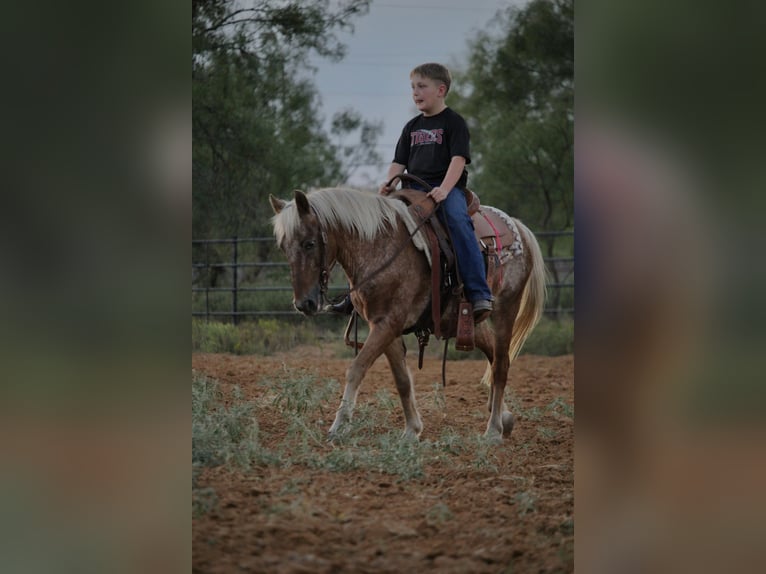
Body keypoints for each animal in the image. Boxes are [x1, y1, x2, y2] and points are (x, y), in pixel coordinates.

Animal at [269, 186, 546, 441]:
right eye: (283, 247)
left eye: (309, 243)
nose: (304, 303)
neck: (378, 247)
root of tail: (517, 227)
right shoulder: (384, 326)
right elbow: (402, 379)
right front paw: (412, 430)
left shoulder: (387, 324)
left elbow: (357, 368)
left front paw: (338, 425)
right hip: (464, 322)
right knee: (493, 353)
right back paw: (504, 417)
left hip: (506, 308)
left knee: (501, 364)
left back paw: (493, 429)